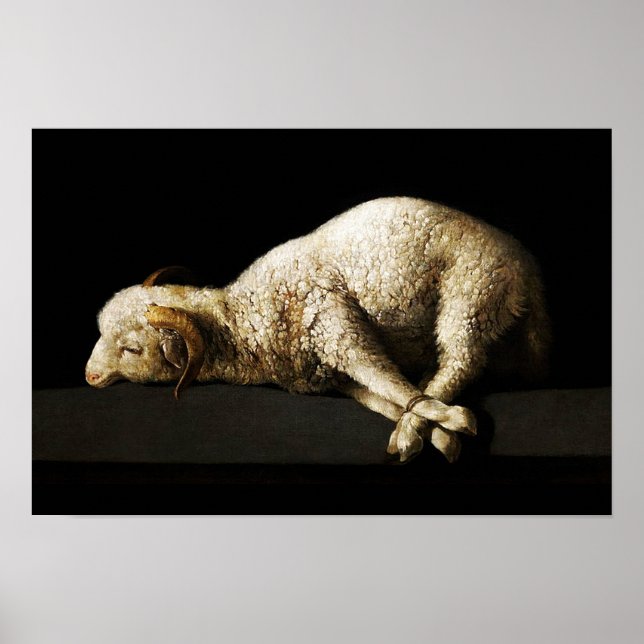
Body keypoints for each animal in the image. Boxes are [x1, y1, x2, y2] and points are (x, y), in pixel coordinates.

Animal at [86, 196, 549, 462]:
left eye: (131, 349)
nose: (89, 377)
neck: (243, 318)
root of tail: (527, 267)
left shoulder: (339, 328)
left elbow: (392, 384)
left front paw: (446, 423)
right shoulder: (335, 378)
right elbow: (385, 401)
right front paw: (430, 434)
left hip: (470, 296)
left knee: (460, 361)